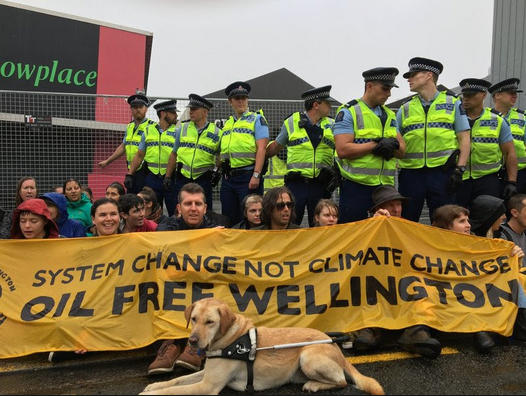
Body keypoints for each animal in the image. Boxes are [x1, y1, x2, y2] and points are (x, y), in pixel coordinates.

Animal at [142, 298, 386, 394]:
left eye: (210, 322)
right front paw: (154, 385)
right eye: (193, 319)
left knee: (342, 381)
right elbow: (176, 380)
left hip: (307, 356)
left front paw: (151, 393)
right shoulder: (205, 375)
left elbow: (173, 391)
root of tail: (335, 346)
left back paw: (314, 385)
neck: (230, 339)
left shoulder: (207, 386)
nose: (192, 341)